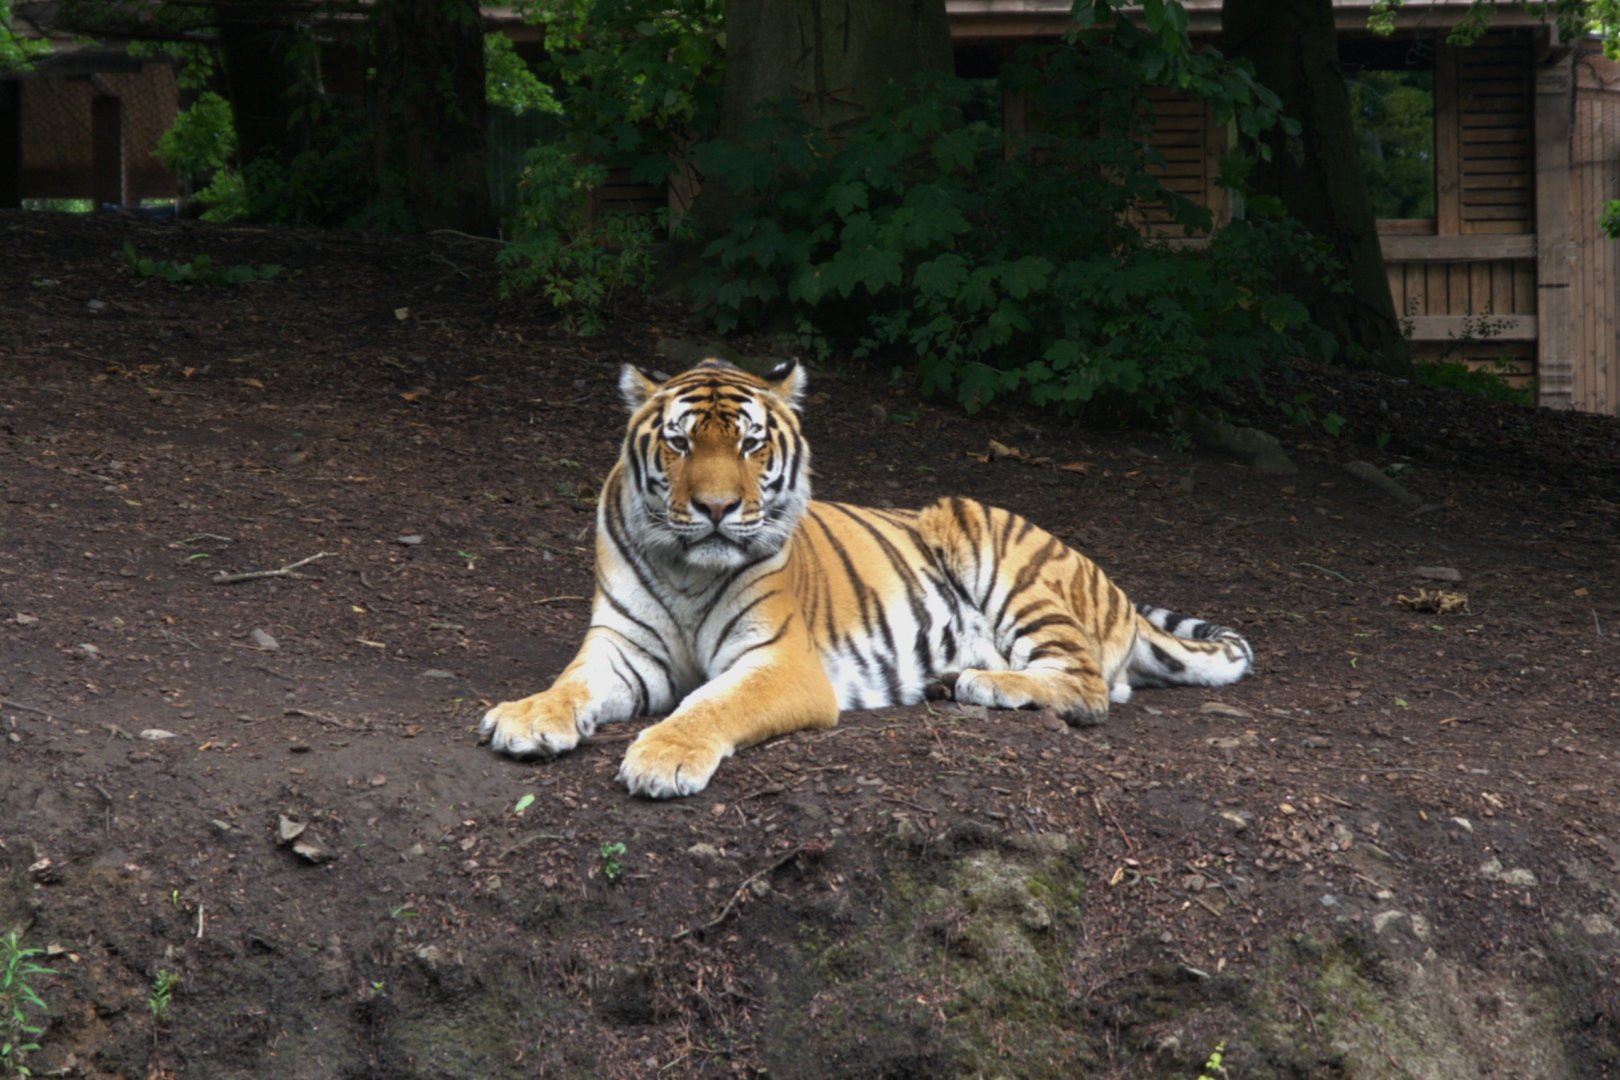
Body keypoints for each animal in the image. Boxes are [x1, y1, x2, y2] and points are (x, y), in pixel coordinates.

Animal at [480, 359, 1253, 798]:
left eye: (751, 444)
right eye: (678, 443)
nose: (716, 509)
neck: (687, 570)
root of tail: (1117, 591)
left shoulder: (779, 663)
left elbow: (709, 705)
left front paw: (663, 758)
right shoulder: (621, 649)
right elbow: (568, 685)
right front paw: (526, 717)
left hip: (998, 552)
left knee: (1089, 688)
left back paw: (980, 683)